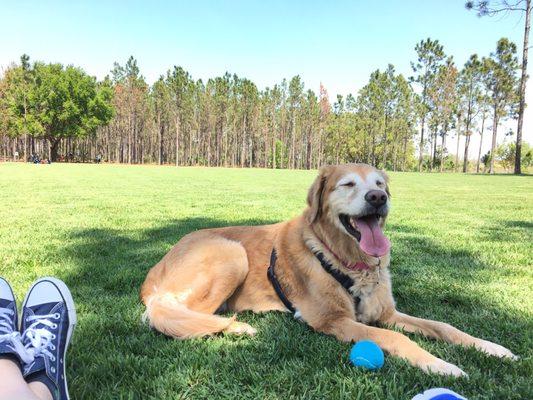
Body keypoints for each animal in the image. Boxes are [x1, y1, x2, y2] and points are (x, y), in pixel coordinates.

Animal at [140, 164, 516, 376]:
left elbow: (444, 326)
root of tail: (154, 271)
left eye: (380, 183)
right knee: (170, 316)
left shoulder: (385, 312)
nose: (378, 197)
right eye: (348, 184)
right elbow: (395, 338)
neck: (348, 260)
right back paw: (236, 327)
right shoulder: (334, 321)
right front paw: (440, 365)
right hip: (230, 252)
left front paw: (491, 348)